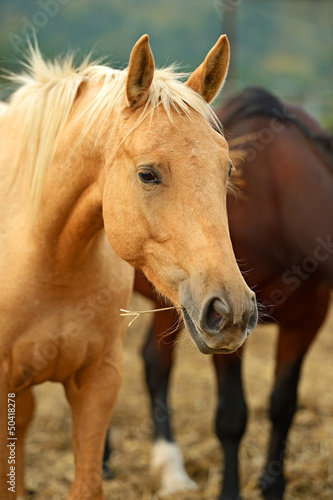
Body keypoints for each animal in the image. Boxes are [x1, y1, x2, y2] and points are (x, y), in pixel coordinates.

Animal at [104, 89, 330, 500]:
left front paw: (273, 485)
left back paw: (170, 471)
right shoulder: (226, 326)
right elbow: (232, 416)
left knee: (154, 363)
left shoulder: (308, 317)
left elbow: (283, 404)